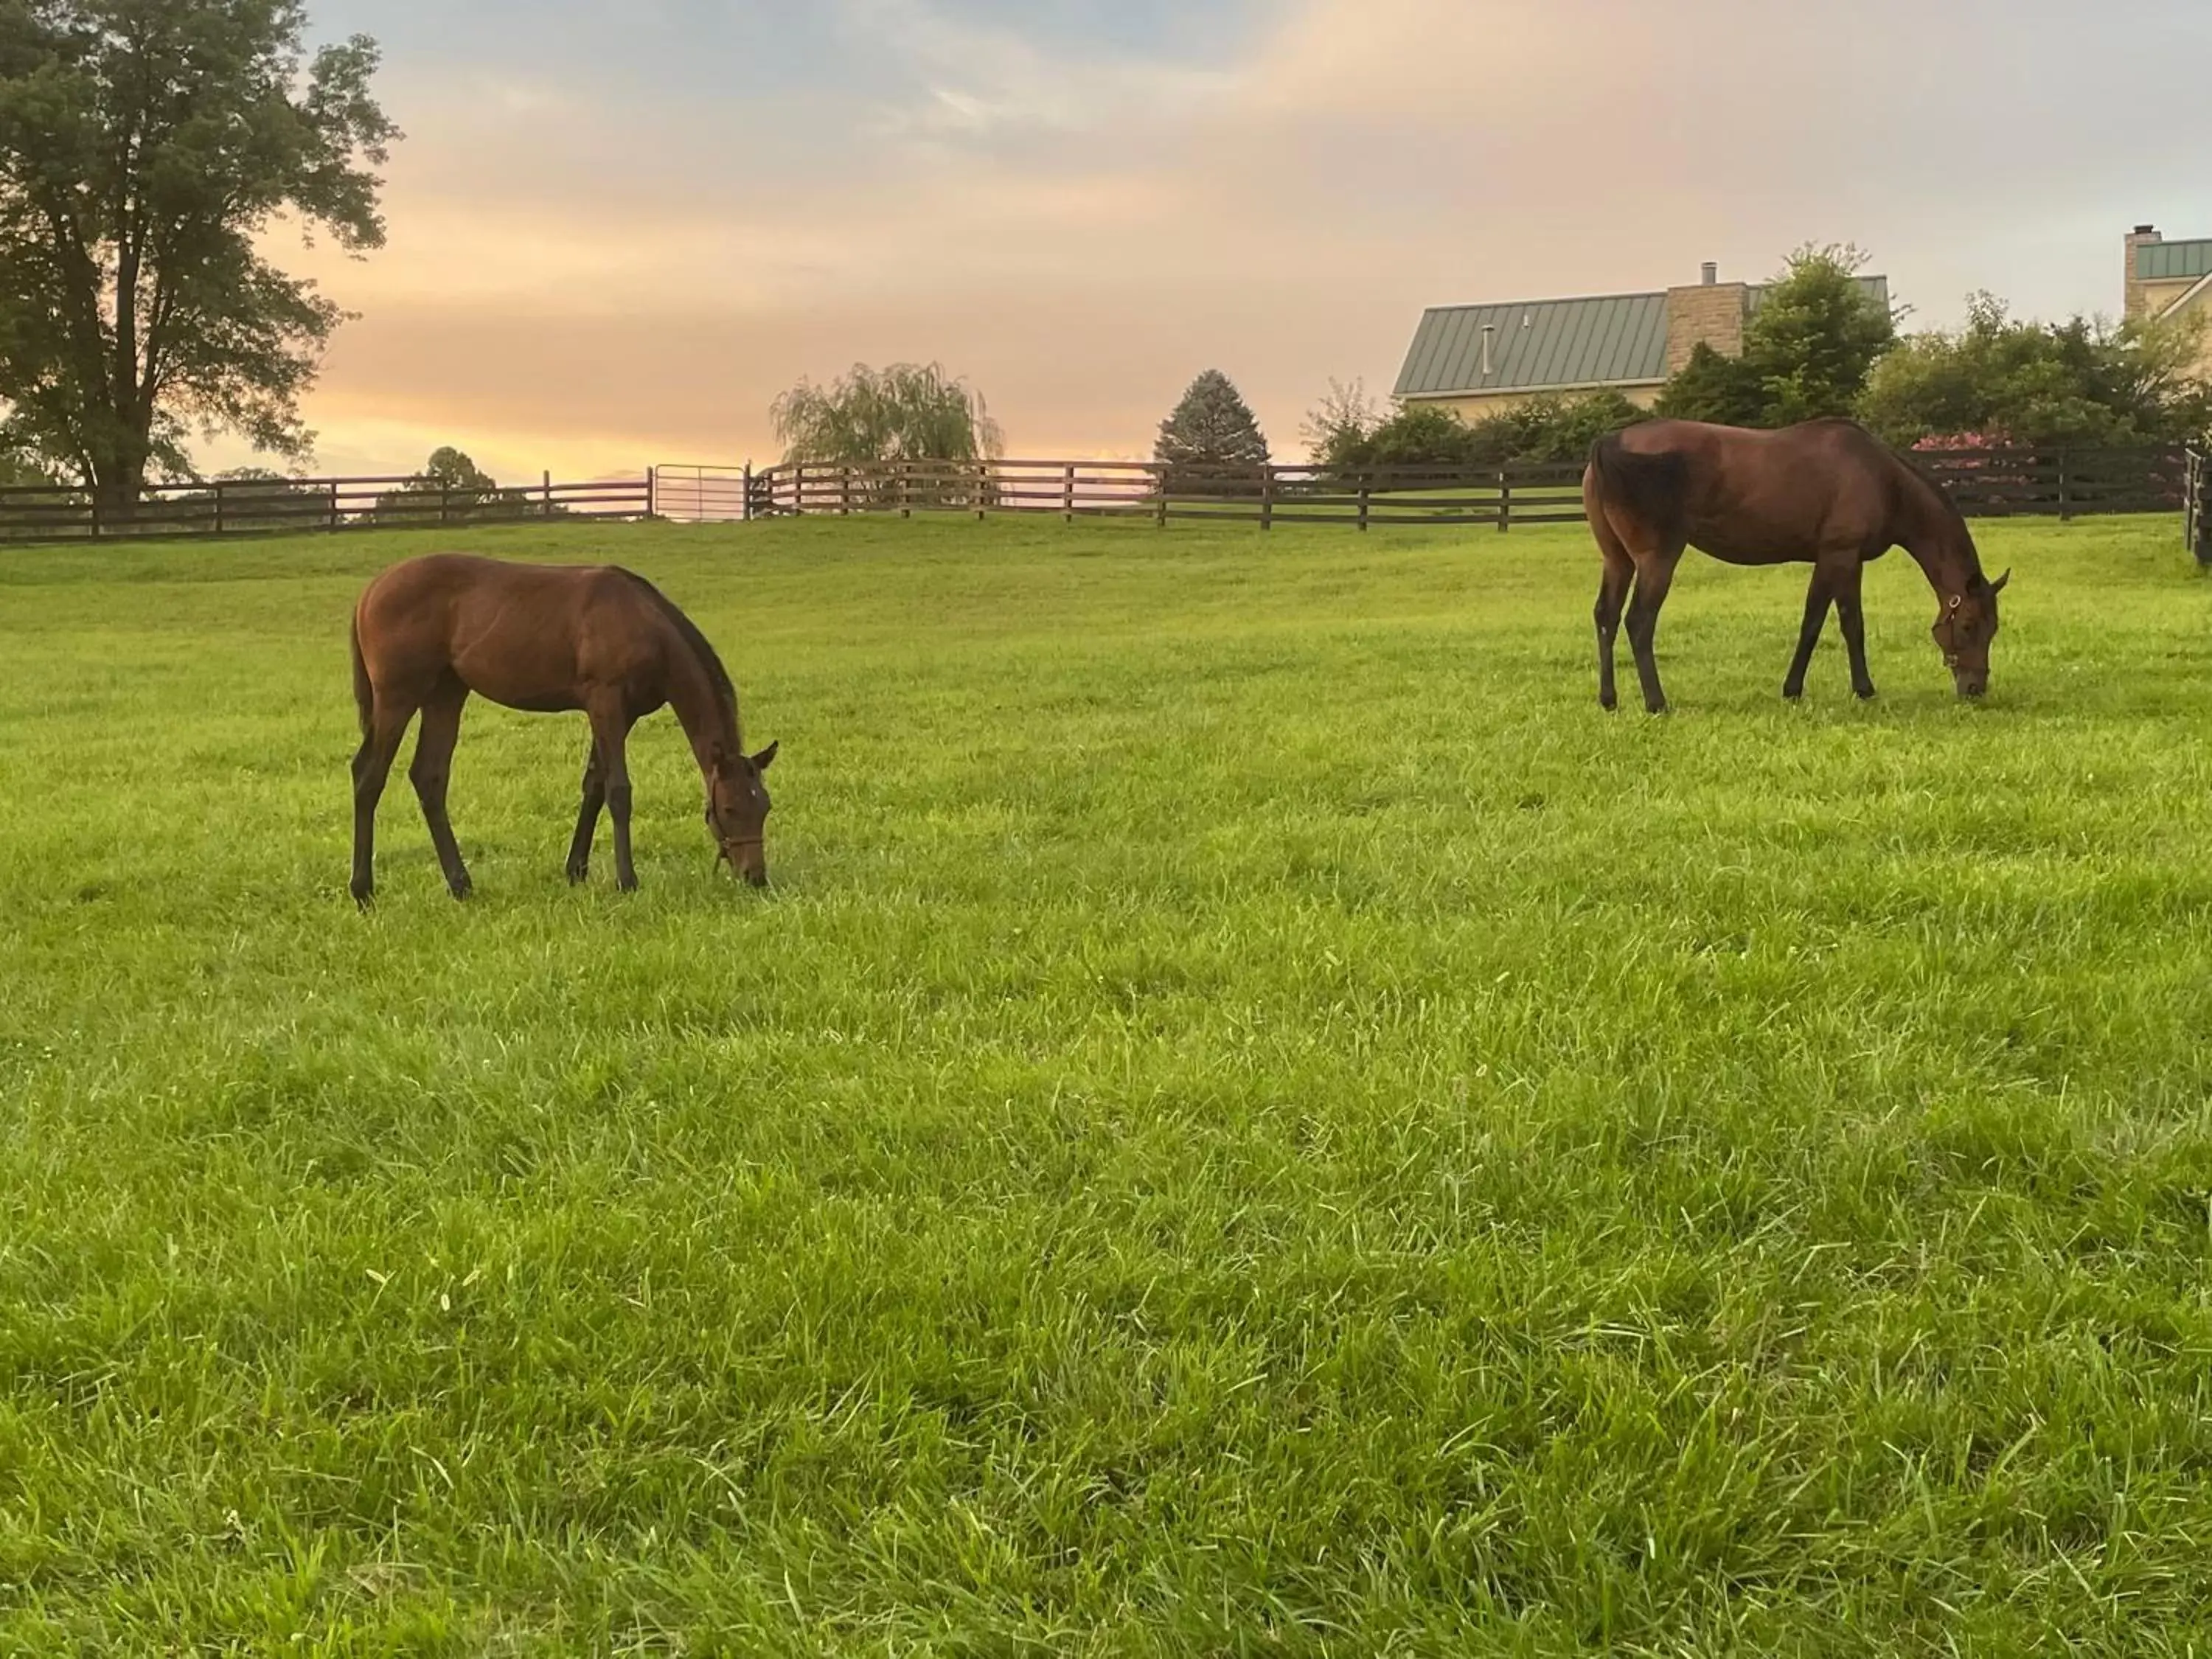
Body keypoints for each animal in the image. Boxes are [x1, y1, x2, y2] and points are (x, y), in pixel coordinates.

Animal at [349, 553, 783, 902]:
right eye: (728, 808)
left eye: (764, 805)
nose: (755, 877)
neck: (641, 622)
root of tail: (370, 591)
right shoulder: (606, 702)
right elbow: (619, 791)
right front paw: (627, 881)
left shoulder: (619, 714)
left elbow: (594, 786)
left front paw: (576, 871)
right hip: (398, 696)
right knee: (368, 775)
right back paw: (363, 889)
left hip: (445, 694)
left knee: (430, 777)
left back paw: (461, 885)